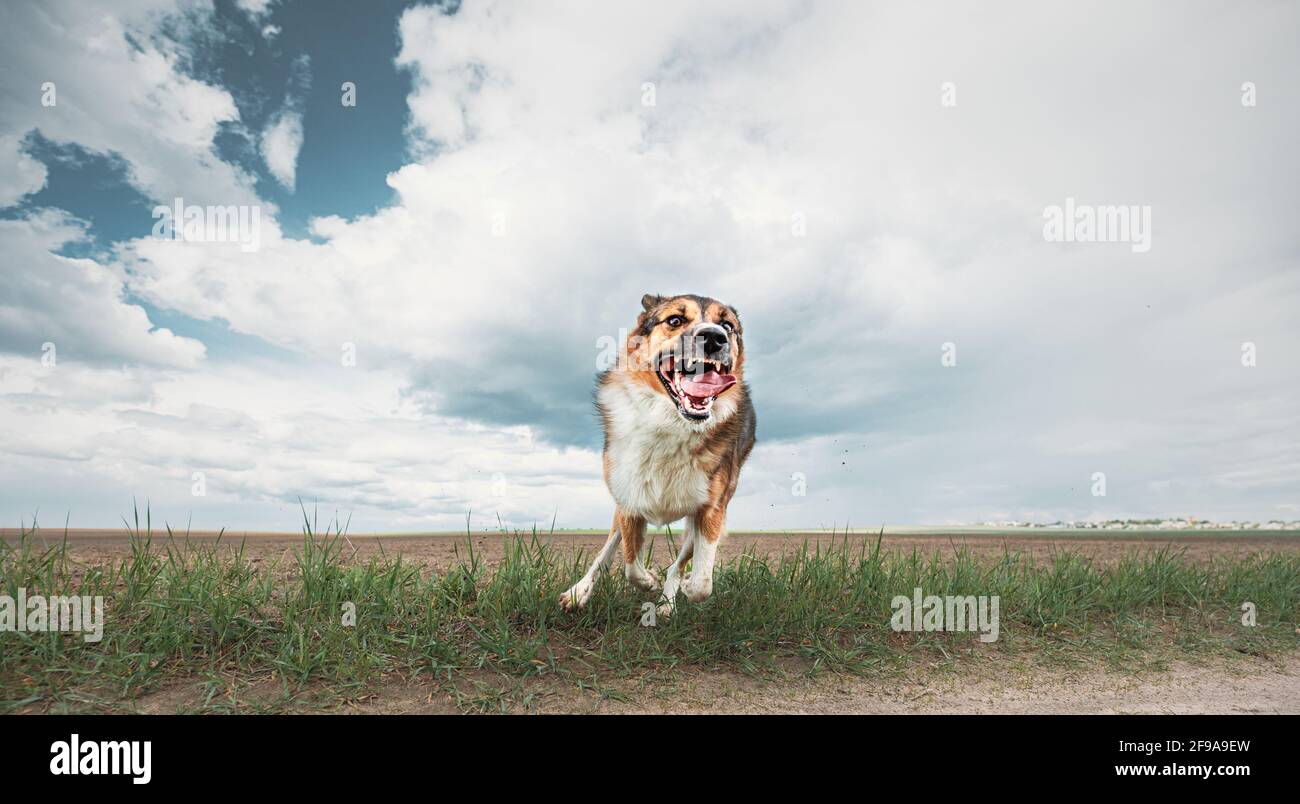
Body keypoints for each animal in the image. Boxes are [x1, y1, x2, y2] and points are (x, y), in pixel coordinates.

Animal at [556, 292, 754, 614]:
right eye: (675, 320)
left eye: (727, 325)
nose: (715, 337)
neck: (672, 422)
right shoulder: (629, 502)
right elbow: (630, 563)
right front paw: (648, 580)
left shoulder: (711, 510)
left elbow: (701, 582)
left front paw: (678, 589)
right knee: (610, 548)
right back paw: (579, 591)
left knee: (683, 562)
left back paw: (667, 601)